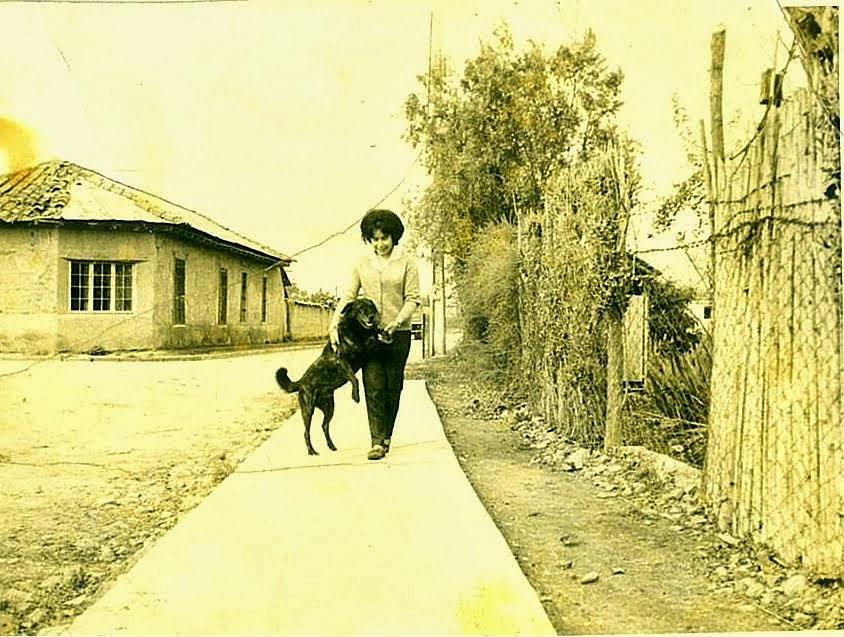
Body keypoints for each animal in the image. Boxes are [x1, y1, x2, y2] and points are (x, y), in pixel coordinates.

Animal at [276, 296, 388, 454]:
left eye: (371, 307)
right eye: (360, 309)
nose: (372, 317)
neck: (357, 331)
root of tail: (301, 382)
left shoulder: (365, 349)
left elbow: (373, 338)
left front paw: (383, 333)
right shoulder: (342, 360)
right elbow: (354, 378)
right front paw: (356, 395)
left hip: (329, 407)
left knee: (324, 426)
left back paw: (331, 446)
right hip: (308, 409)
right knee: (306, 432)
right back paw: (311, 451)